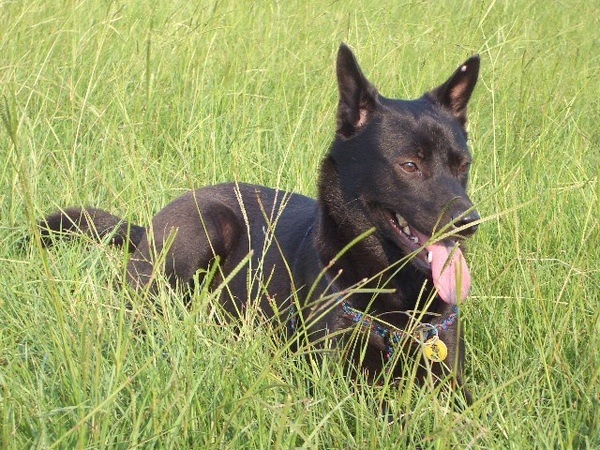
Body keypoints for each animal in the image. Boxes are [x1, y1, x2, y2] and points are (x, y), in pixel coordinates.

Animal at [41, 44, 478, 400]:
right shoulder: (339, 382)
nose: (470, 223)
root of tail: (148, 226)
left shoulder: (449, 374)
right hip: (204, 228)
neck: (397, 289)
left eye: (463, 165)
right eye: (410, 165)